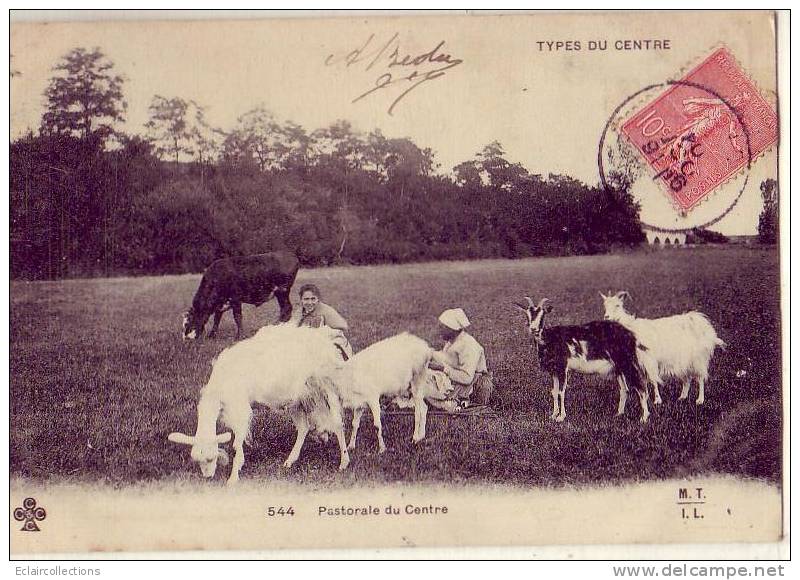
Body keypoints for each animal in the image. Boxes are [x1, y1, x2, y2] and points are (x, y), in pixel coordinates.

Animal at [169, 324, 350, 482]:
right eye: (197, 460)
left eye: (211, 457)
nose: (207, 477)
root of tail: (326, 339)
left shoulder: (239, 408)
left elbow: (236, 443)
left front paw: (233, 477)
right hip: (298, 398)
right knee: (304, 427)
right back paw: (290, 461)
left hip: (327, 386)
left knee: (337, 423)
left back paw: (344, 462)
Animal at [516, 296, 660, 424]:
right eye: (528, 315)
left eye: (543, 315)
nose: (533, 329)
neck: (550, 338)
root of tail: (630, 333)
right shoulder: (554, 371)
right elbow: (554, 392)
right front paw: (553, 415)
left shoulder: (563, 367)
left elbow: (561, 392)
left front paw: (561, 417)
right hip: (618, 367)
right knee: (625, 389)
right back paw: (619, 414)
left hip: (628, 362)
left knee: (641, 387)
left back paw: (643, 418)